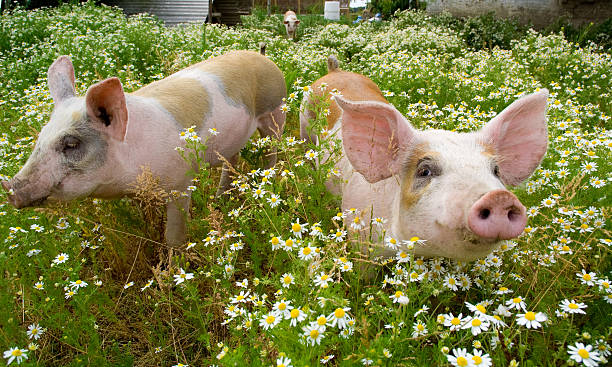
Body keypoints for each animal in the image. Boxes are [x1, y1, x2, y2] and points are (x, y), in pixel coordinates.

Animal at [2, 51, 286, 247]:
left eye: (71, 144)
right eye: (41, 137)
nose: (11, 188)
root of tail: (262, 57)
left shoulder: (180, 183)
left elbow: (174, 234)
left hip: (276, 113)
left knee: (272, 151)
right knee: (232, 160)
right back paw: (220, 199)